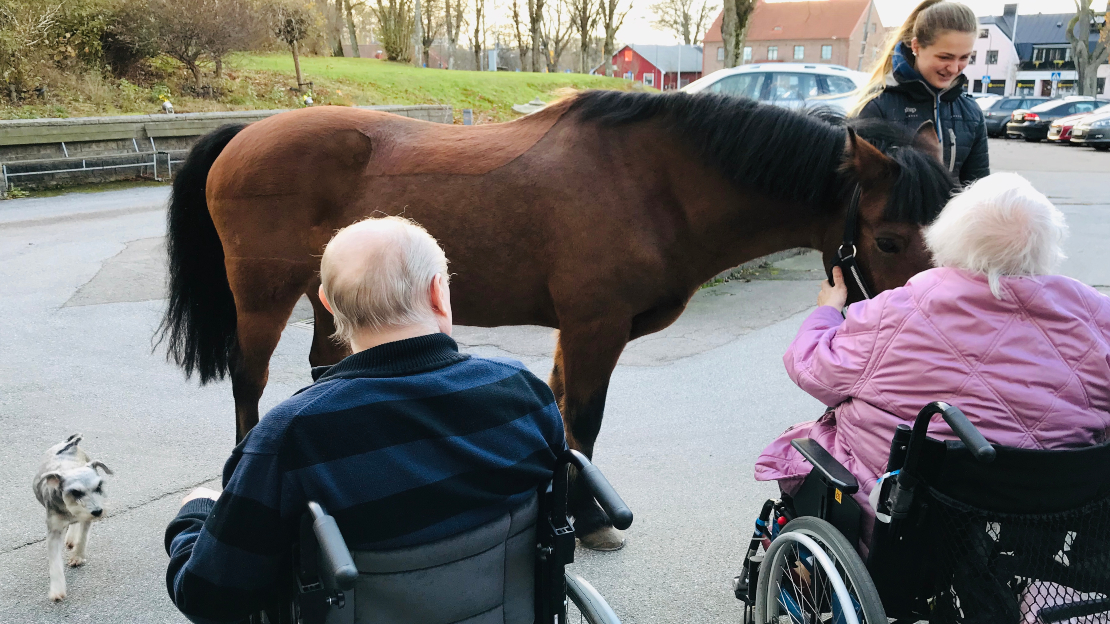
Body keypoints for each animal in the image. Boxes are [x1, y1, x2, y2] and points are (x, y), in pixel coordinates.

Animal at [32, 433, 112, 599]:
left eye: (99, 486)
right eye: (75, 492)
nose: (97, 511)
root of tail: (70, 443)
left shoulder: (86, 519)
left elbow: (83, 538)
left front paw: (78, 557)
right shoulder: (54, 530)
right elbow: (55, 562)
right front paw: (57, 589)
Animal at [156, 89, 954, 546]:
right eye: (888, 240)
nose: (933, 316)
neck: (657, 181)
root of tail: (242, 135)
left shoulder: (583, 330)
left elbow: (568, 416)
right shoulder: (596, 325)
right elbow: (585, 417)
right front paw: (586, 517)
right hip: (262, 298)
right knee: (249, 382)